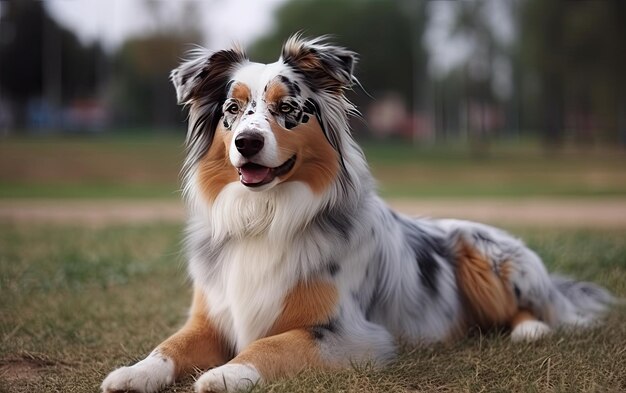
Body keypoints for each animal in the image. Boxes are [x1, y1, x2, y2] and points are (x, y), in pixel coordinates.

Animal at [100, 34, 612, 392]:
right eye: (232, 108)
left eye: (287, 108)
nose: (247, 142)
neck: (264, 215)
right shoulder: (208, 318)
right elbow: (167, 346)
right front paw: (134, 372)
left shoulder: (349, 333)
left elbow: (270, 345)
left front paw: (225, 374)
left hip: (486, 255)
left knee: (539, 308)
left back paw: (531, 330)